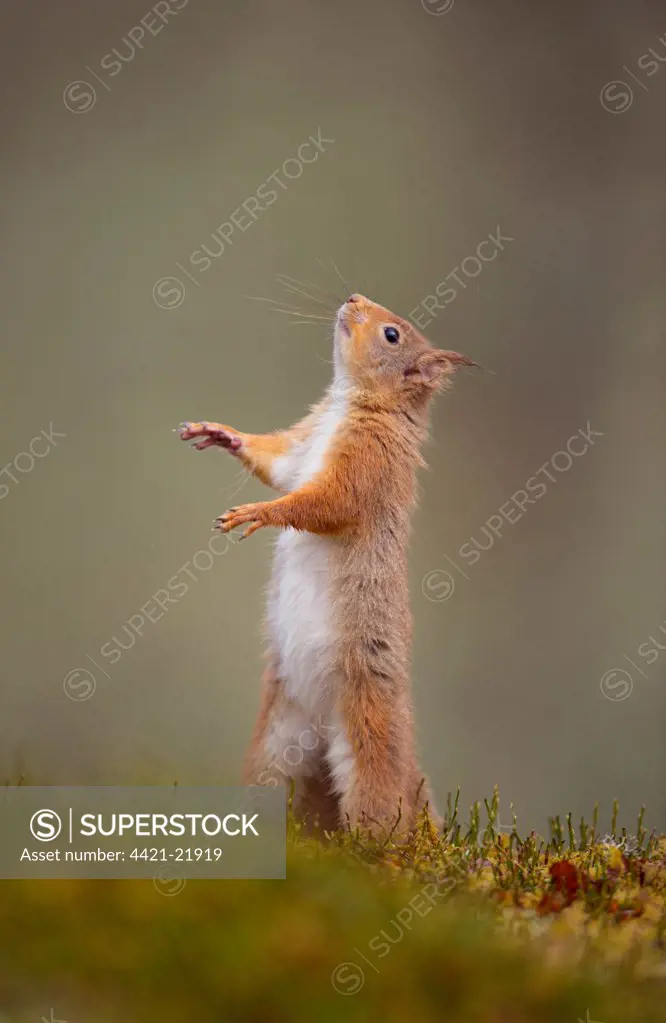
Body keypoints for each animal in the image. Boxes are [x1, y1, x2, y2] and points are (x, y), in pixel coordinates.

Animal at [180, 290, 476, 830]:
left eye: (392, 335)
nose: (354, 297)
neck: (348, 403)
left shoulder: (368, 464)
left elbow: (325, 504)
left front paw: (259, 513)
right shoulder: (301, 449)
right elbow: (277, 466)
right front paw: (224, 433)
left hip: (367, 734)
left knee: (381, 811)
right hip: (275, 743)